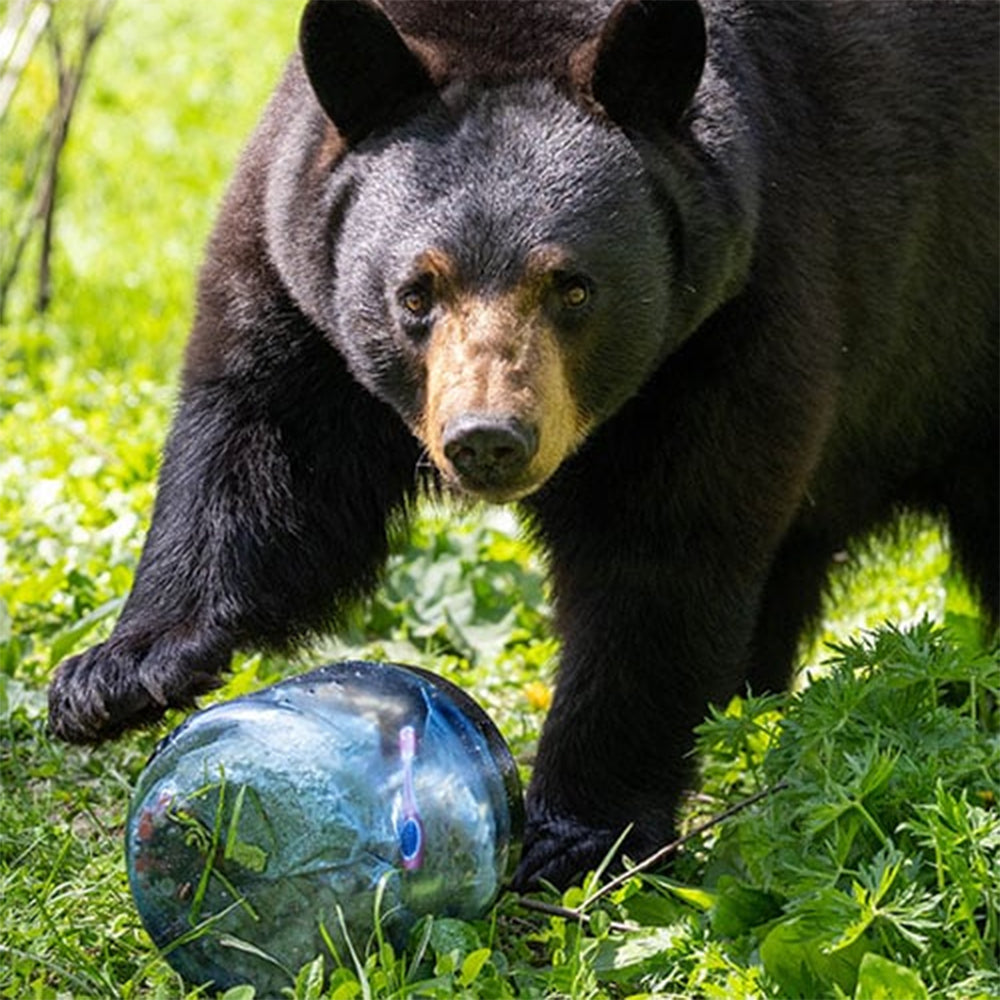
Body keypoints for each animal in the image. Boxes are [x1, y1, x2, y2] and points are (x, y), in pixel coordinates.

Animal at [48, 0, 998, 890]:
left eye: (572, 288)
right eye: (416, 292)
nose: (488, 440)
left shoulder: (744, 301)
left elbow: (662, 556)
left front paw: (574, 832)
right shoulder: (293, 254)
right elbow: (266, 453)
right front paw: (116, 675)